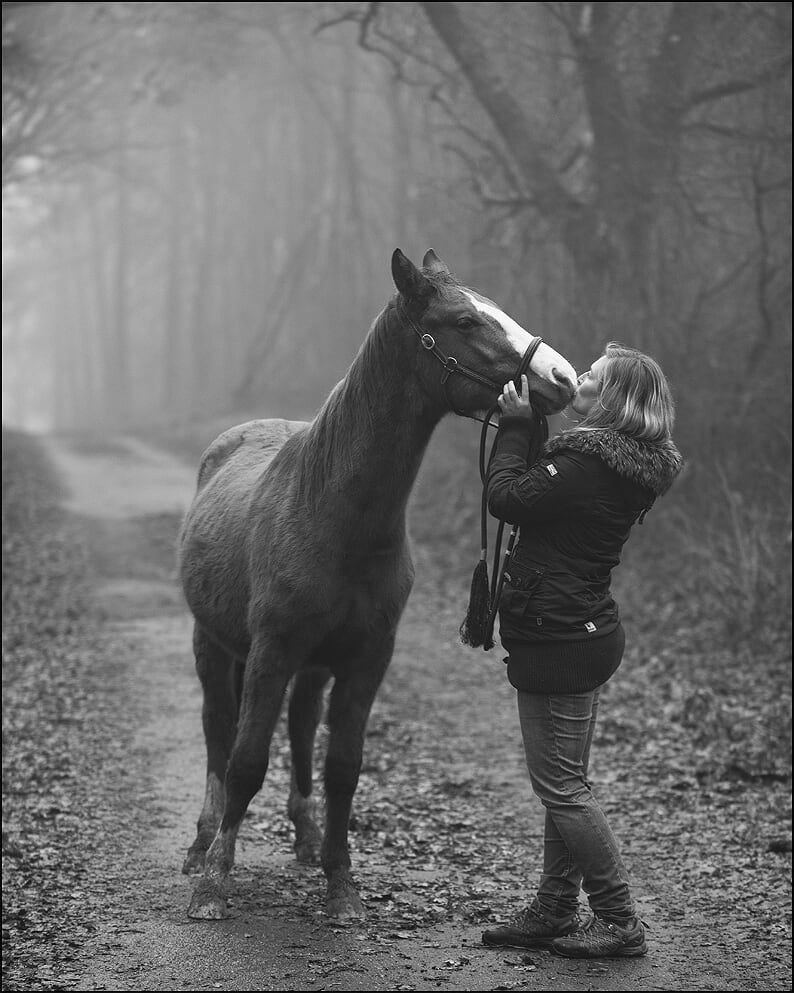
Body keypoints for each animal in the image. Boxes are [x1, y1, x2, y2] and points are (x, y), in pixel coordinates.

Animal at [179, 248, 576, 924]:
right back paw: (204, 843)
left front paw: (340, 885)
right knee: (216, 731)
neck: (335, 517)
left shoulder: (367, 659)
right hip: (213, 645)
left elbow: (343, 767)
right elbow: (245, 761)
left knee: (302, 727)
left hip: (313, 666)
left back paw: (306, 837)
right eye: (464, 321)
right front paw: (214, 885)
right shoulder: (269, 653)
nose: (564, 376)